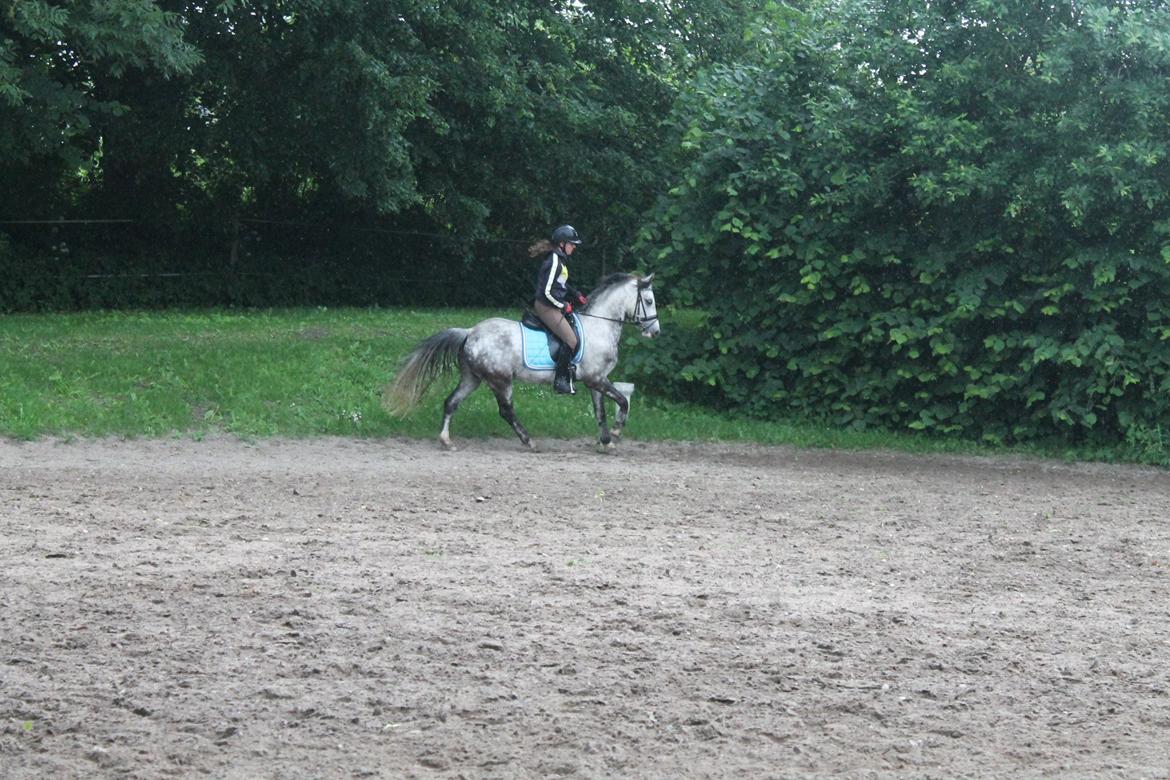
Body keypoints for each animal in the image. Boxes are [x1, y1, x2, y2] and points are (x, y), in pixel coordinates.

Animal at [384, 272, 660, 451]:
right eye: (648, 301)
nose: (655, 331)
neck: (599, 326)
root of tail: (470, 332)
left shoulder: (596, 380)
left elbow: (600, 410)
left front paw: (606, 440)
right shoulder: (596, 379)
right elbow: (623, 401)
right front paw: (615, 432)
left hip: (472, 378)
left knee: (451, 402)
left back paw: (446, 440)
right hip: (500, 380)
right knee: (506, 411)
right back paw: (528, 440)